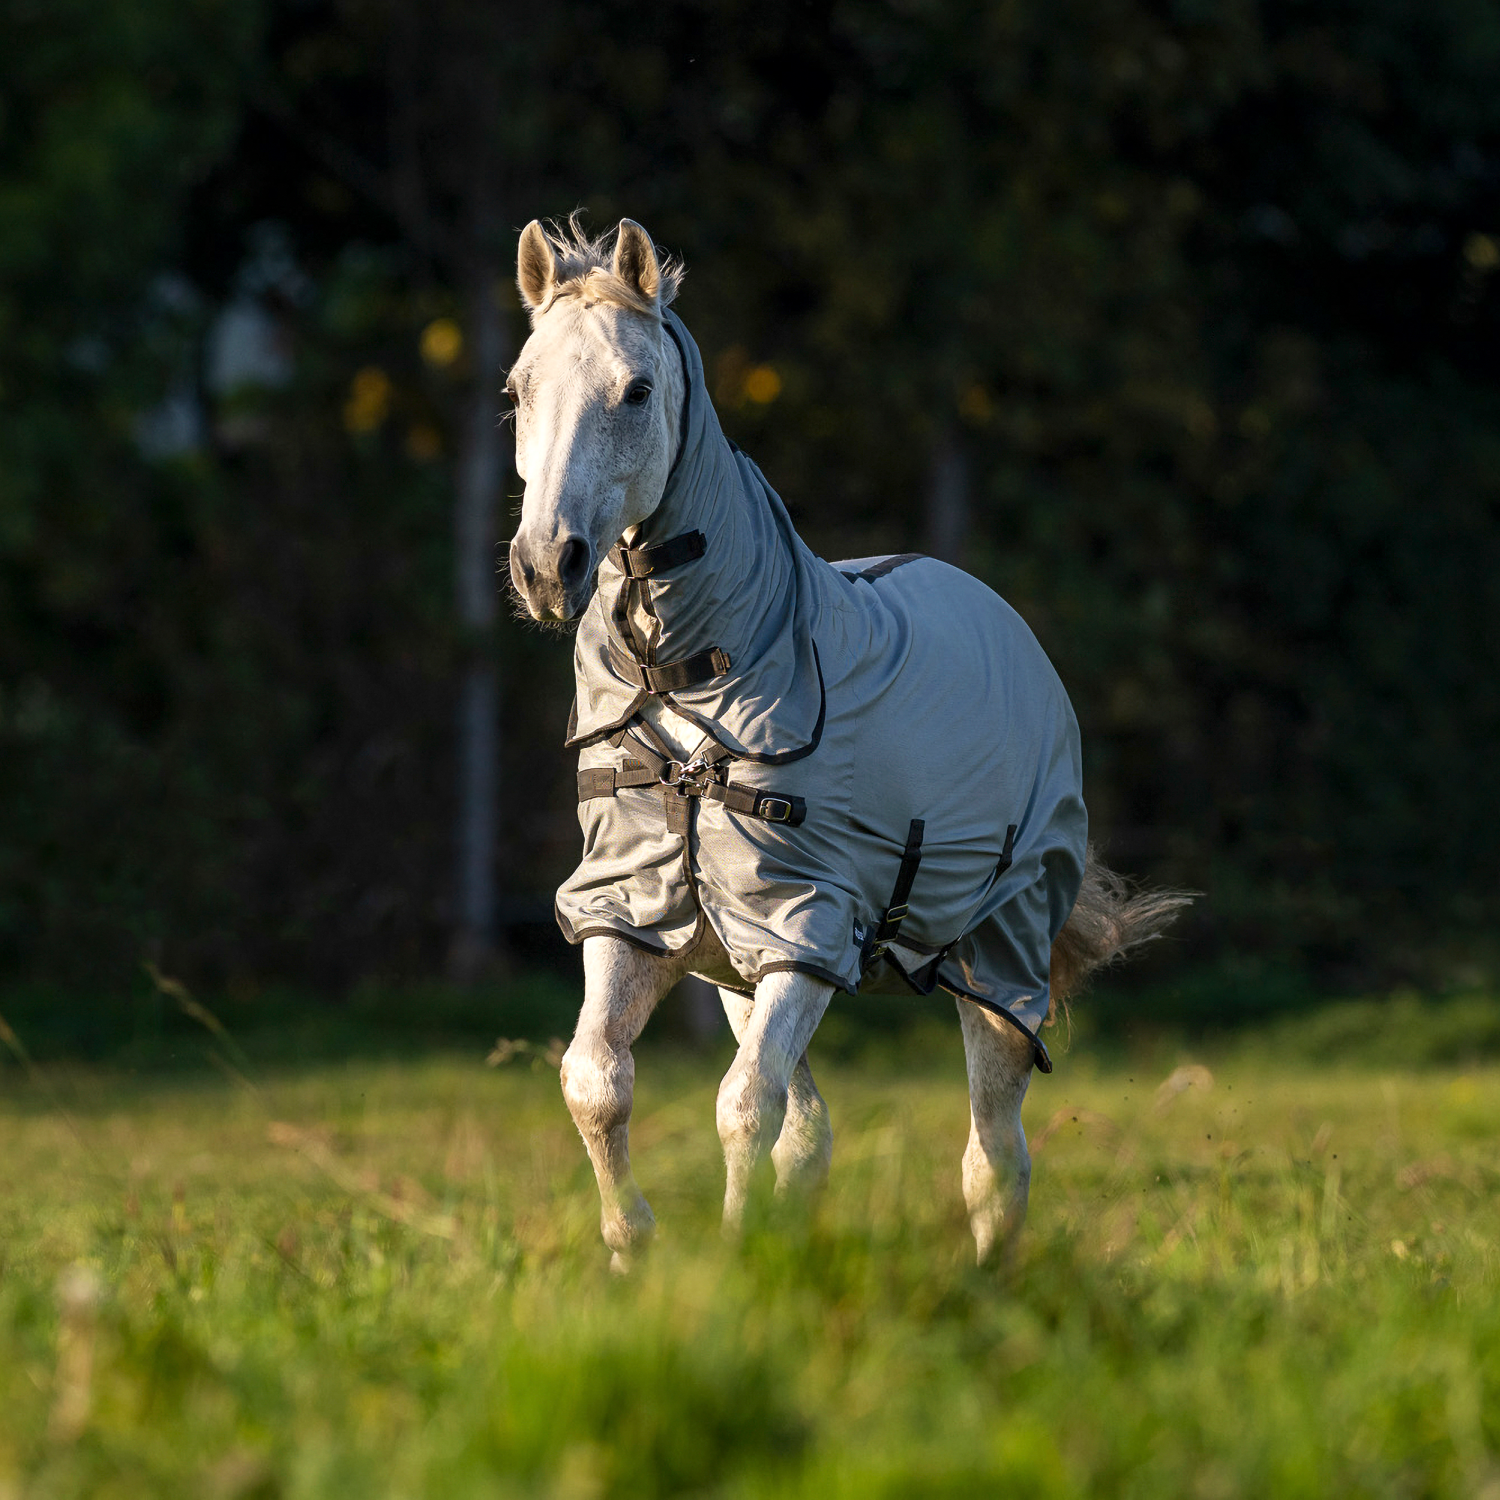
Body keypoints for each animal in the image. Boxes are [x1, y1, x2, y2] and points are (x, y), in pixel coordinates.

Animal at [510, 214, 1188, 1266]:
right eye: (518, 390)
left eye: (638, 390)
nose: (548, 567)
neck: (695, 685)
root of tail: (1007, 624)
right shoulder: (639, 913)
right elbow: (599, 1082)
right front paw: (633, 1249)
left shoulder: (809, 927)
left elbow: (743, 1106)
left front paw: (732, 1258)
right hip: (741, 972)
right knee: (813, 1132)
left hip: (998, 961)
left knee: (994, 1157)